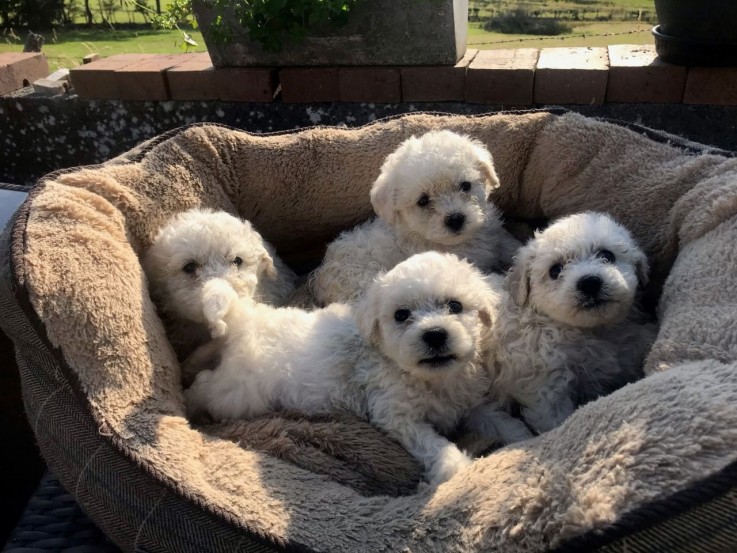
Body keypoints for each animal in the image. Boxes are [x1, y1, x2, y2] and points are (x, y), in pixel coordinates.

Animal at [184, 252, 498, 486]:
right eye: (401, 315)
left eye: (455, 306)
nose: (434, 334)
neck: (433, 378)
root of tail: (246, 315)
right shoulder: (396, 415)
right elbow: (432, 442)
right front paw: (454, 465)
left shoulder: (470, 402)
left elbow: (494, 419)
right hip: (238, 394)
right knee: (205, 386)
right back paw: (189, 403)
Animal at [484, 213, 656, 434]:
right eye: (555, 270)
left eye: (607, 255)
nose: (589, 283)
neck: (590, 331)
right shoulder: (546, 384)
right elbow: (557, 421)